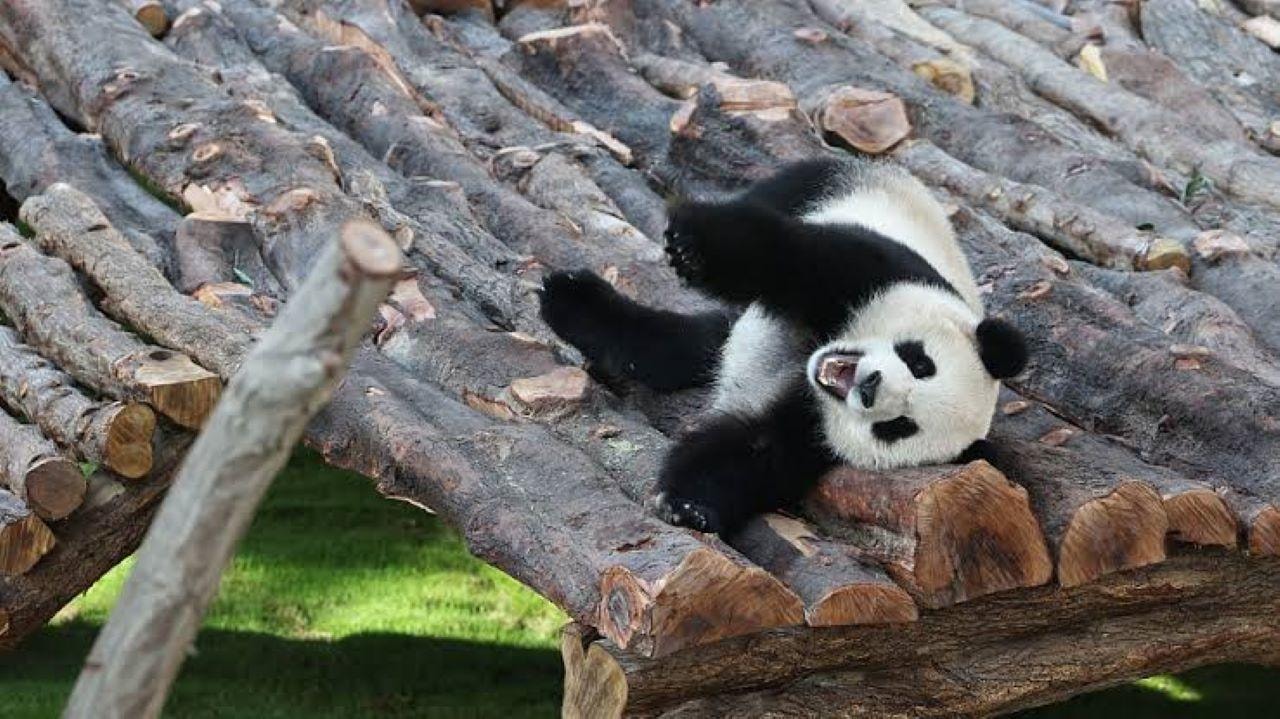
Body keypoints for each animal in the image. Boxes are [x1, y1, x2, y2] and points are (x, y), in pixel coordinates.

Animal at [538, 157, 1028, 536]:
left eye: (898, 427)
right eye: (920, 361)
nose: (869, 386)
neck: (812, 358)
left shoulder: (815, 437)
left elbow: (753, 451)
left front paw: (688, 506)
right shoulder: (878, 274)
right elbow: (790, 260)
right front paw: (694, 246)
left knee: (692, 343)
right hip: (840, 182)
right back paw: (574, 296)